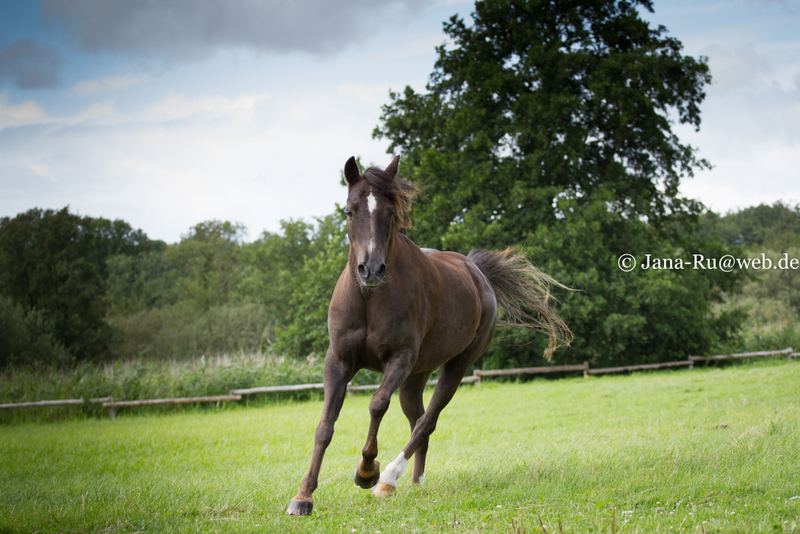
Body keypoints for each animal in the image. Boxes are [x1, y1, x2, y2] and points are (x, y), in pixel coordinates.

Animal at [284, 157, 572, 516]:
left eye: (390, 212)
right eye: (350, 210)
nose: (371, 270)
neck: (369, 300)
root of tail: (477, 272)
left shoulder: (399, 360)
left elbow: (377, 405)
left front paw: (366, 471)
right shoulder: (338, 361)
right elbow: (325, 426)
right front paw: (303, 496)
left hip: (456, 367)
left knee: (427, 421)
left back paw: (388, 479)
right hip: (415, 378)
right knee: (417, 420)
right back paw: (414, 480)